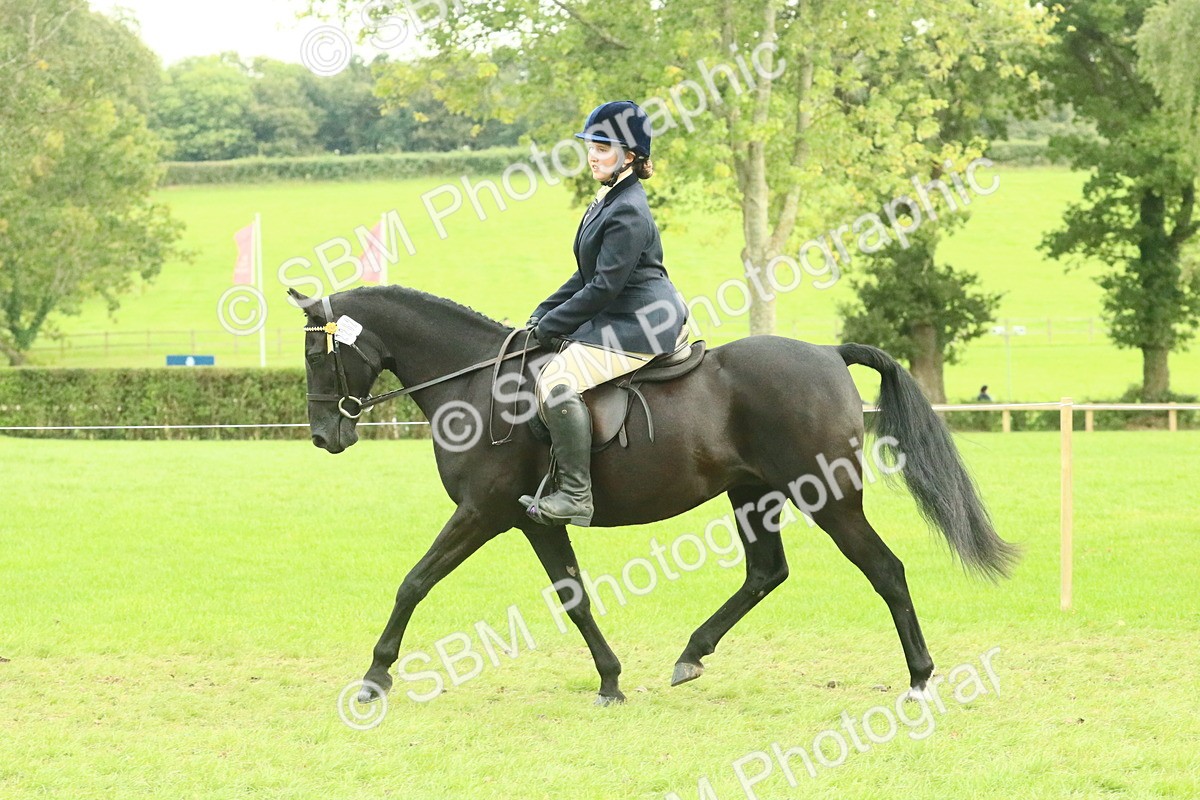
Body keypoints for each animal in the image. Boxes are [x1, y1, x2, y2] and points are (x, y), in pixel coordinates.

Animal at [290, 284, 1017, 706]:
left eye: (317, 356)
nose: (325, 435)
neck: (475, 384)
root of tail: (827, 354)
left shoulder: (482, 513)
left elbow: (413, 582)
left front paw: (376, 675)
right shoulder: (536, 522)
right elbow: (575, 599)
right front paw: (611, 680)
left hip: (830, 499)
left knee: (885, 570)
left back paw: (920, 677)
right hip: (753, 495)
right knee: (766, 572)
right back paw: (691, 654)